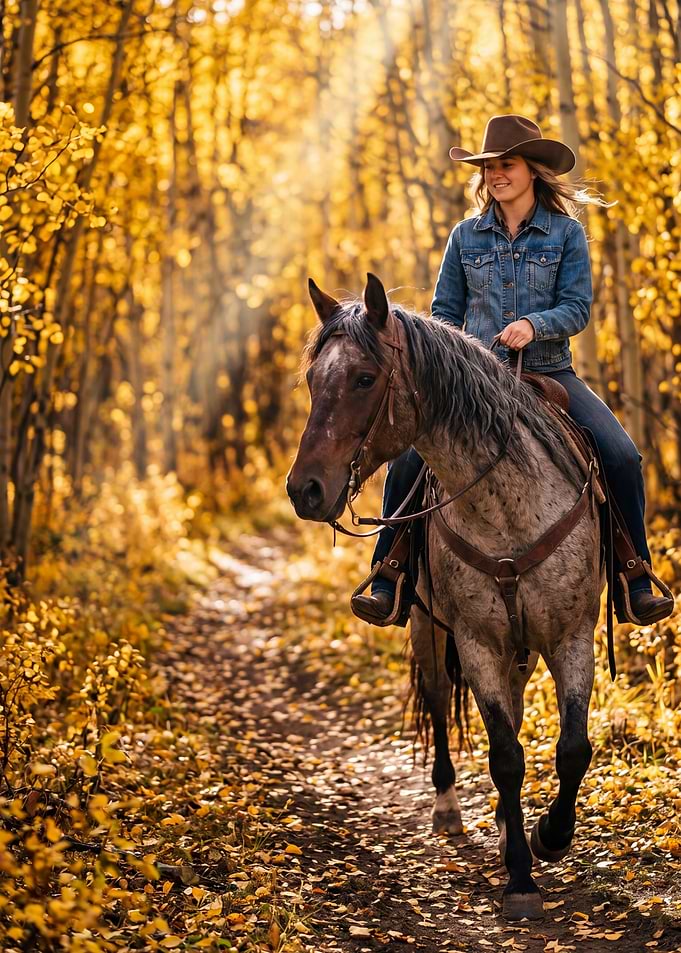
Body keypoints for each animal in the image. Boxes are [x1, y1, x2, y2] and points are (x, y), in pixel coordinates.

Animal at [286, 273, 601, 921]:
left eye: (364, 378)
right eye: (312, 380)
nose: (305, 490)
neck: (506, 504)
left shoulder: (570, 635)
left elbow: (572, 749)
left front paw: (548, 837)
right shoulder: (477, 642)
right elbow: (505, 756)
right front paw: (521, 879)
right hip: (429, 627)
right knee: (436, 699)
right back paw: (450, 809)